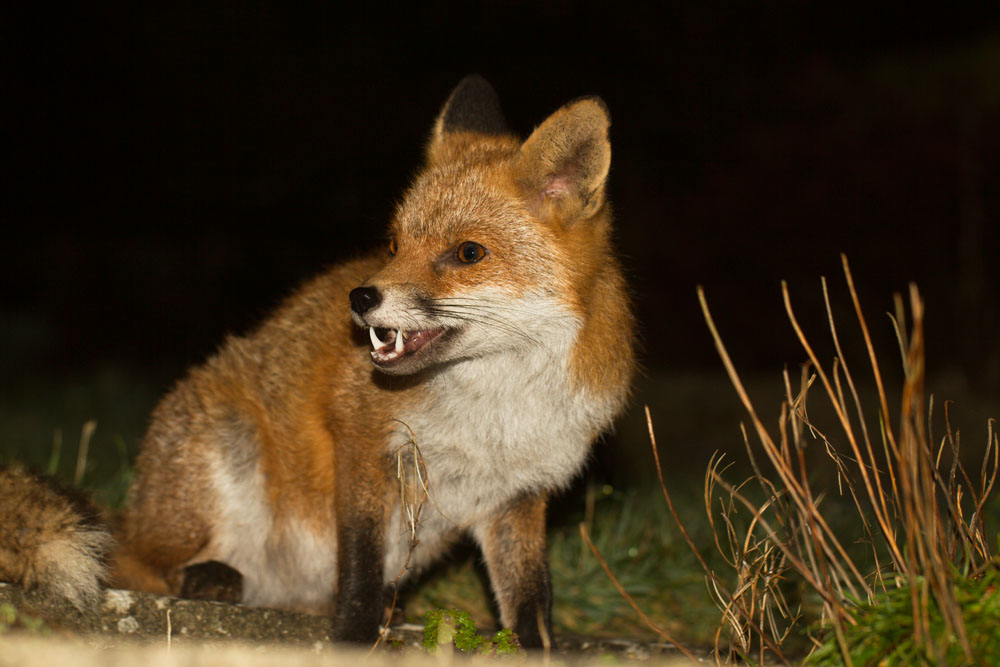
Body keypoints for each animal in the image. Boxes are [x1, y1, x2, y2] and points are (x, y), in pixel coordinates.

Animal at [0, 75, 634, 646]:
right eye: (394, 244)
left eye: (469, 253)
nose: (362, 297)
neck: (498, 407)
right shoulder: (362, 436)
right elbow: (359, 566)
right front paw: (353, 637)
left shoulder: (517, 495)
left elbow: (531, 597)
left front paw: (538, 650)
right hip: (221, 450)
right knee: (138, 562)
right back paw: (205, 576)